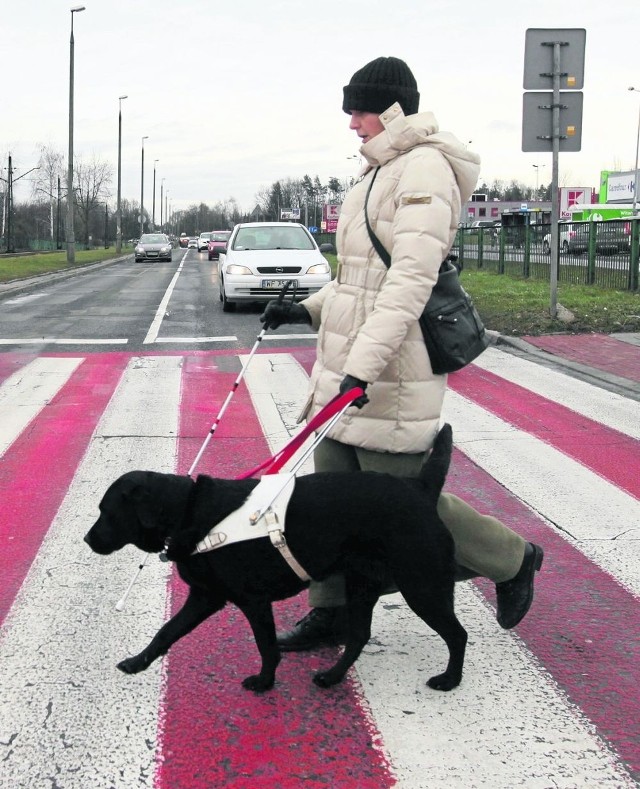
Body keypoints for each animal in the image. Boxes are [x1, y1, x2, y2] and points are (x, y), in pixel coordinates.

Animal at [84, 424, 464, 688]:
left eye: (106, 511)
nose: (87, 539)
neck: (187, 512)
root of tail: (420, 489)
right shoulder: (205, 597)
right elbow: (166, 631)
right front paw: (138, 662)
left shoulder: (253, 601)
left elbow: (266, 645)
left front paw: (265, 683)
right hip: (362, 585)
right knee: (358, 637)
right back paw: (332, 677)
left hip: (422, 585)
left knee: (457, 635)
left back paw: (450, 680)